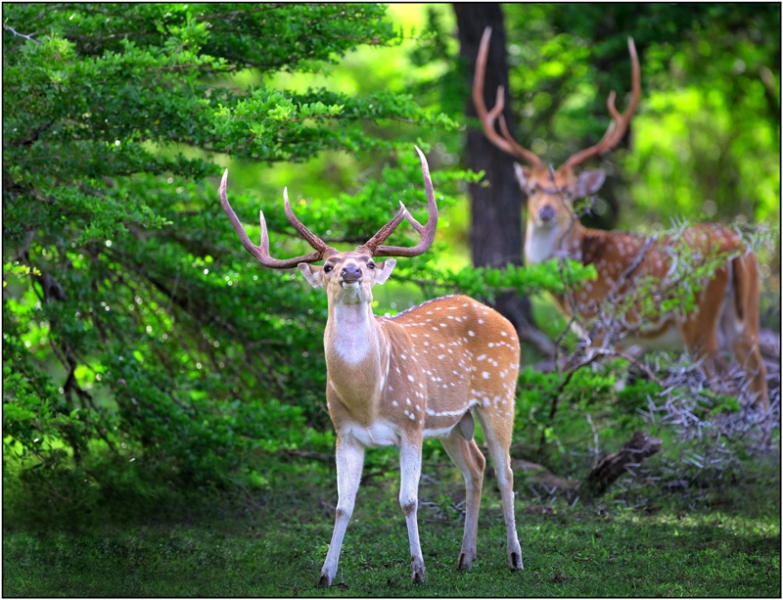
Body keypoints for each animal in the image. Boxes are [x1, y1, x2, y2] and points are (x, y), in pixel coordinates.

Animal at [220, 145, 524, 584]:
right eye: (327, 265)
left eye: (368, 262)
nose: (350, 271)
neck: (368, 397)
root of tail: (497, 316)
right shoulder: (344, 431)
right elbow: (342, 505)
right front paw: (325, 574)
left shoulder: (411, 421)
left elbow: (408, 500)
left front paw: (418, 571)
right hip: (451, 423)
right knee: (476, 467)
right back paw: (465, 558)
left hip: (498, 395)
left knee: (506, 471)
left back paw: (515, 557)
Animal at [474, 28, 768, 412]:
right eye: (534, 188)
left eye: (568, 191)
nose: (546, 212)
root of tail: (738, 246)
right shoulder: (624, 341)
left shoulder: (601, 328)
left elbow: (599, 396)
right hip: (745, 315)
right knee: (759, 375)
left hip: (697, 319)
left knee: (724, 385)